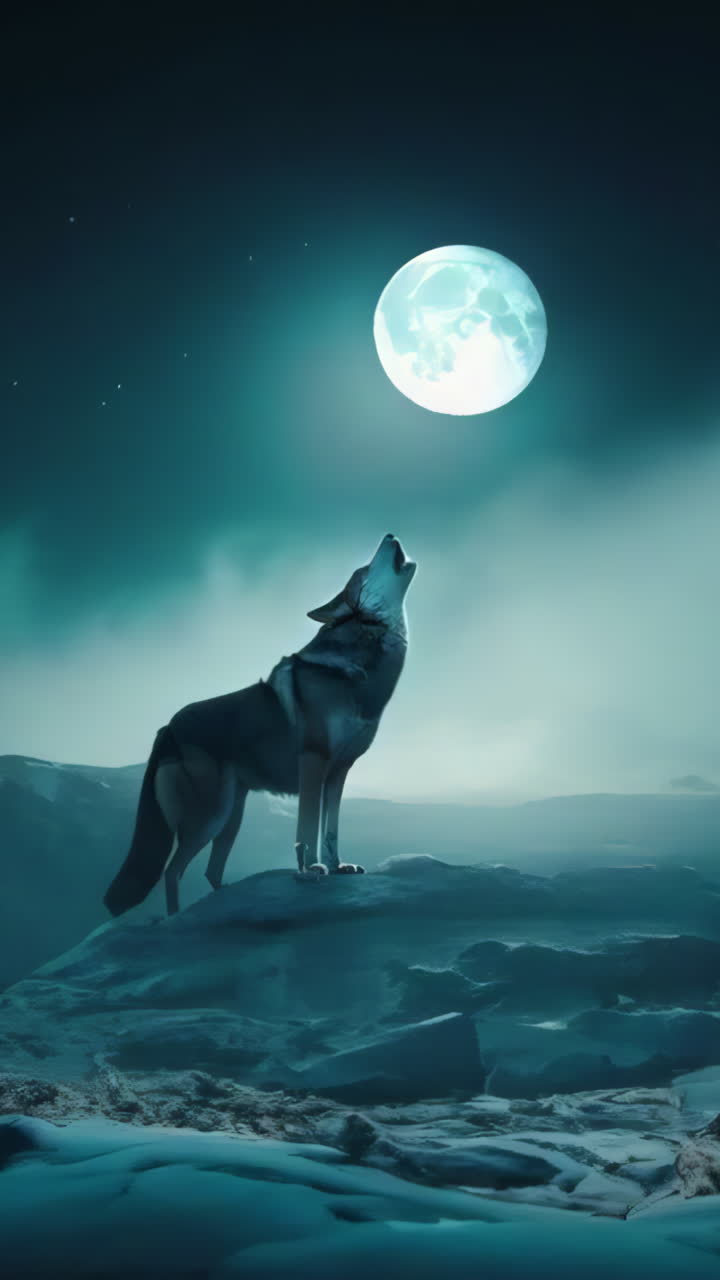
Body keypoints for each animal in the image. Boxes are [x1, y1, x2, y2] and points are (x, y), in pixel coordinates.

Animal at [103, 534, 416, 917]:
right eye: (364, 569)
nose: (390, 535)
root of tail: (167, 727)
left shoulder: (338, 773)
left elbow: (330, 830)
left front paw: (338, 866)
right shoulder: (313, 762)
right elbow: (307, 828)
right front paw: (312, 870)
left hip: (231, 816)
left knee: (210, 871)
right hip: (212, 816)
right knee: (173, 872)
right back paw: (176, 918)